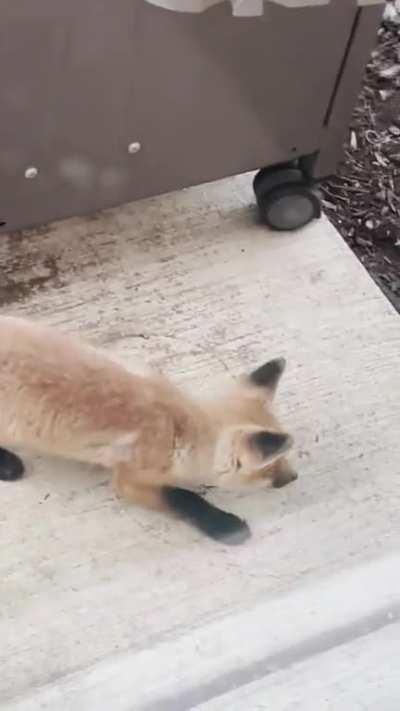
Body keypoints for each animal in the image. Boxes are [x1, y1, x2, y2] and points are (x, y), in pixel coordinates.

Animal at [0, 316, 297, 544]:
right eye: (271, 467)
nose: (293, 477)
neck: (177, 427)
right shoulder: (128, 479)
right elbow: (182, 497)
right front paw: (224, 526)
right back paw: (9, 465)